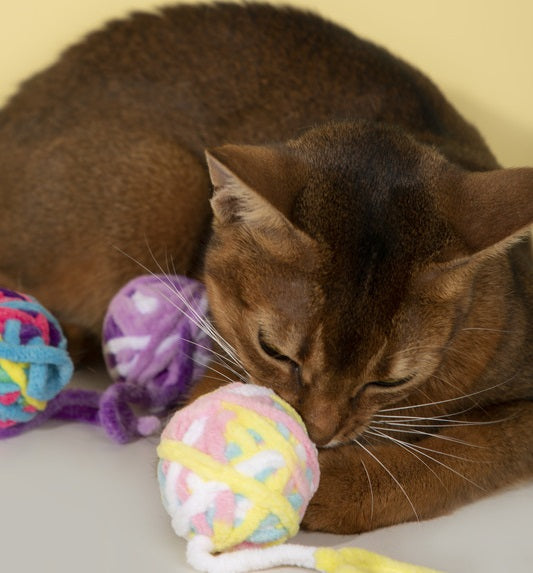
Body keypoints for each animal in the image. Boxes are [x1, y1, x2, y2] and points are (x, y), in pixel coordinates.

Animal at [1, 4, 532, 536]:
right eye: (274, 350)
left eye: (390, 382)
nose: (318, 433)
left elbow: (464, 453)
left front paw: (336, 487)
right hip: (166, 173)